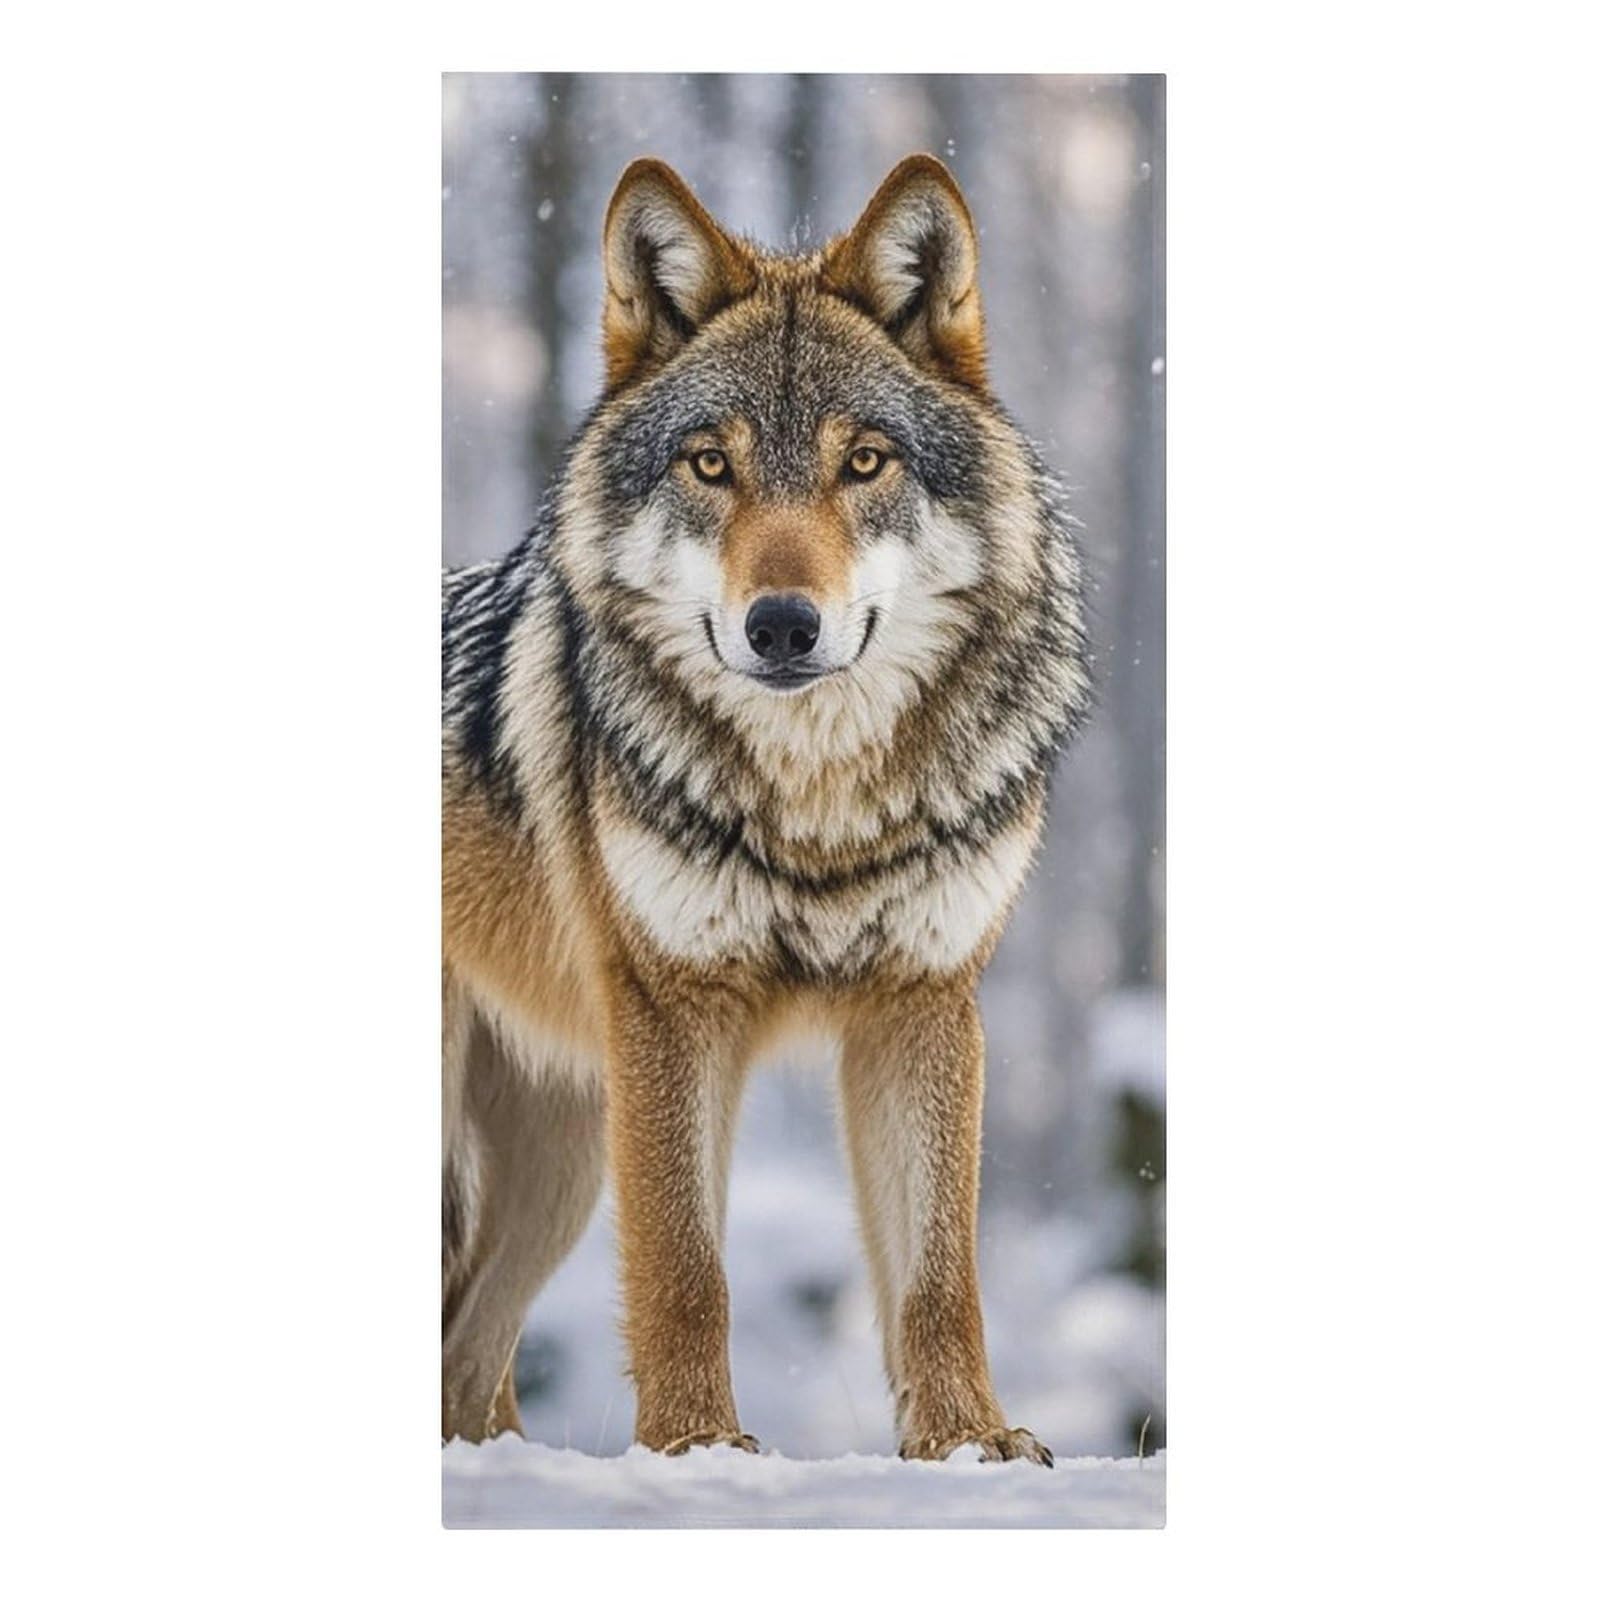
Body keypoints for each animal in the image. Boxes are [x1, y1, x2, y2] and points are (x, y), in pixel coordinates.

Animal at [443, 154, 1090, 1463]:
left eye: (864, 462)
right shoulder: (673, 1010)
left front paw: (969, 1442)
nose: (782, 625)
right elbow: (686, 1270)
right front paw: (695, 1448)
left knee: (465, 1359)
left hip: (560, 1159)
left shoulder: (922, 1003)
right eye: (710, 465)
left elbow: (939, 1275)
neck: (820, 810)